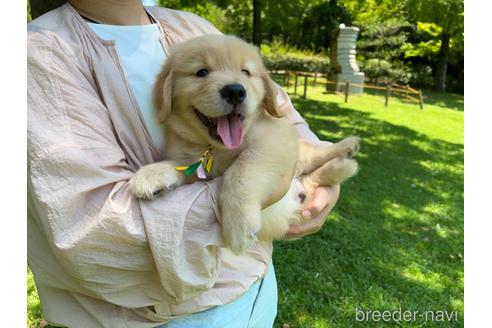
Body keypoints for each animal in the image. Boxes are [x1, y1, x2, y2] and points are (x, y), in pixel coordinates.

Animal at [128, 36, 358, 256]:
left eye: (246, 72)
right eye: (201, 72)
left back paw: (347, 148)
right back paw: (341, 166)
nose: (235, 91)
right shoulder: (196, 164)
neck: (217, 148)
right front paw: (151, 174)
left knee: (316, 155)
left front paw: (239, 226)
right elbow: (178, 164)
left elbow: (240, 172)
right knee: (312, 180)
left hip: (298, 151)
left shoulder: (274, 139)